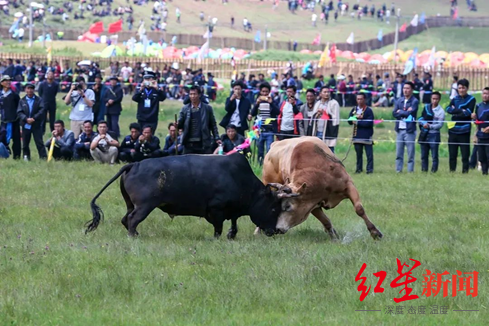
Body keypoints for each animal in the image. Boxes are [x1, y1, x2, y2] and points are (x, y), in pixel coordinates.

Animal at [86, 153, 280, 237]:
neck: (239, 177)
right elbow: (218, 227)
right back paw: (134, 236)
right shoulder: (216, 209)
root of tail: (134, 164)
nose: (275, 231)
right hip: (144, 206)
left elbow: (233, 223)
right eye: (273, 209)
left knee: (125, 218)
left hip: (131, 204)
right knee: (132, 219)